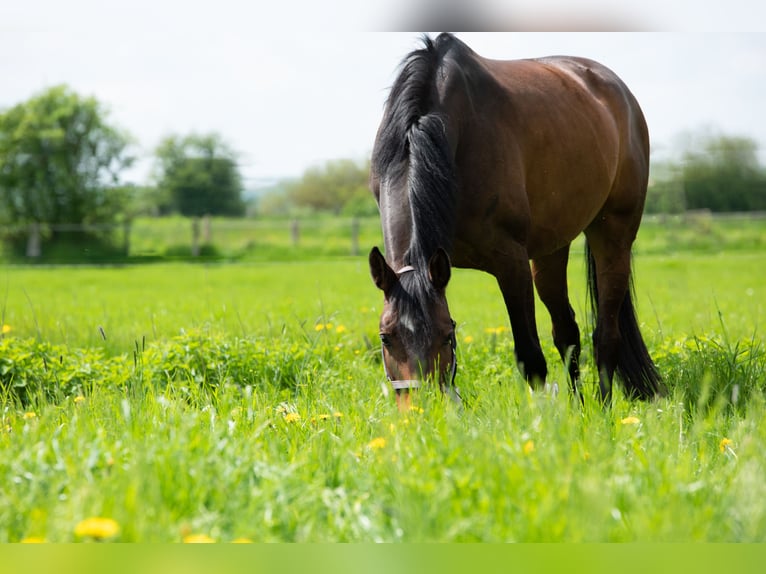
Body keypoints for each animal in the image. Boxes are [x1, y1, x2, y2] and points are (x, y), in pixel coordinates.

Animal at [368, 32, 664, 410]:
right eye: (385, 336)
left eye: (448, 333)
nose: (421, 409)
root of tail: (620, 93)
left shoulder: (511, 264)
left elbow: (530, 357)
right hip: (551, 248)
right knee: (566, 331)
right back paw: (578, 406)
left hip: (613, 234)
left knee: (606, 335)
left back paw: (604, 406)